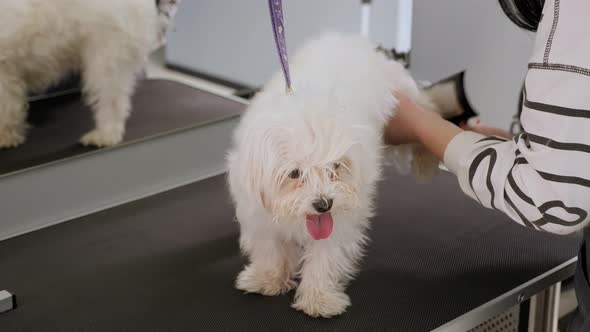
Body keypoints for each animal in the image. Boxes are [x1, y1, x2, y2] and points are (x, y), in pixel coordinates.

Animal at [0, 0, 180, 148]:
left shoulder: (5, 72)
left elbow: (7, 107)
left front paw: (5, 135)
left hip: (107, 57)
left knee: (112, 100)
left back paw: (105, 135)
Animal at [229, 32, 442, 318]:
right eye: (295, 173)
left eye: (336, 167)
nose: (324, 204)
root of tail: (348, 39)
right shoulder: (257, 212)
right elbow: (269, 248)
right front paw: (267, 278)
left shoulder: (339, 219)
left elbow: (325, 256)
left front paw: (319, 298)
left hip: (402, 98)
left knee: (426, 111)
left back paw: (425, 162)